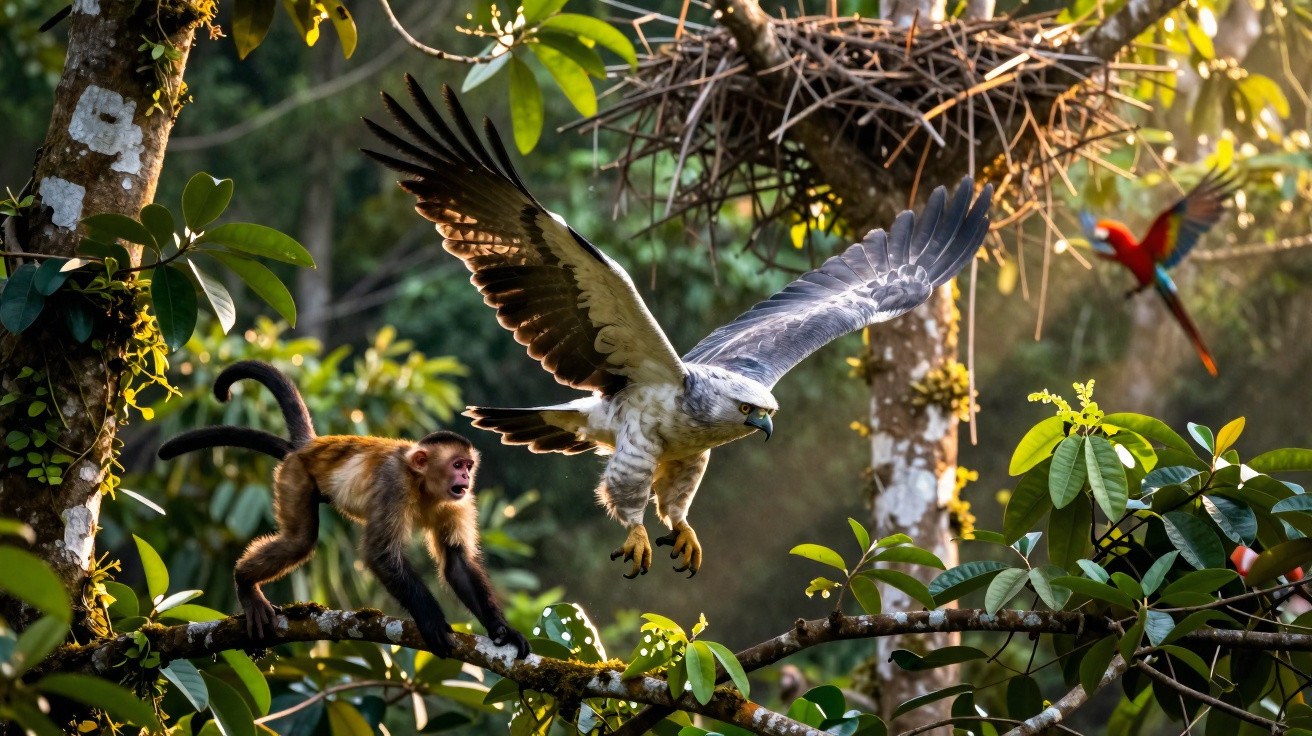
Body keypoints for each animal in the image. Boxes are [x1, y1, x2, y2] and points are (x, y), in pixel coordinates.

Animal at [157, 360, 530, 659]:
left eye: (468, 465)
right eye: (456, 465)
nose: (466, 476)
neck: (424, 486)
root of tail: (311, 446)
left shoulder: (460, 502)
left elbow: (456, 562)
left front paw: (501, 630)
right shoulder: (394, 483)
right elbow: (381, 554)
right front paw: (433, 621)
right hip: (295, 474)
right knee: (300, 541)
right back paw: (245, 583)